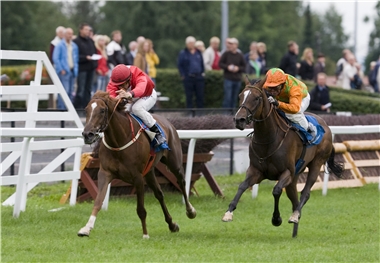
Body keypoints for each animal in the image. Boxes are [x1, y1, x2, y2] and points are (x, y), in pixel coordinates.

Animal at [77, 92, 196, 240]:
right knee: (159, 194)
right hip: (149, 172)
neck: (119, 141)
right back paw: (172, 225)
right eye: (86, 110)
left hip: (174, 163)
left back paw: (190, 211)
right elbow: (98, 201)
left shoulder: (137, 177)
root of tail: (167, 122)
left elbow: (141, 209)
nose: (87, 134)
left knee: (181, 182)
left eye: (102, 110)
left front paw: (145, 234)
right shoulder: (105, 173)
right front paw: (86, 228)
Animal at [221, 77, 342, 238]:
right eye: (240, 96)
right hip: (295, 176)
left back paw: (295, 216)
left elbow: (276, 190)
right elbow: (242, 186)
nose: (239, 119)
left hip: (316, 164)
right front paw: (228, 213)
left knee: (305, 193)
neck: (268, 139)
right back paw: (295, 229)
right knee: (294, 198)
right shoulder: (256, 171)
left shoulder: (287, 172)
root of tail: (326, 126)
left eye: (257, 98)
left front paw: (276, 219)